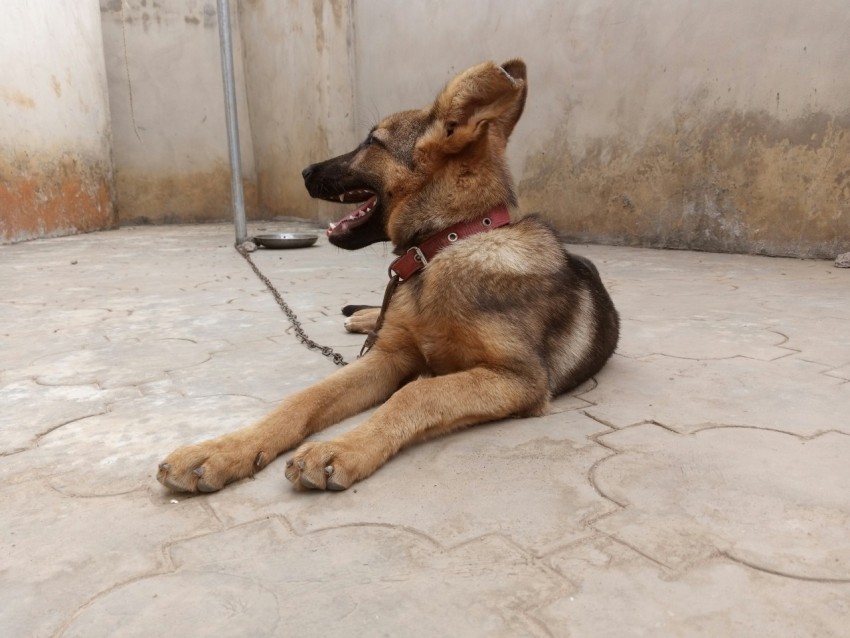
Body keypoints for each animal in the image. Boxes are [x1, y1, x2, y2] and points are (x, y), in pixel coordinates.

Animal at [157, 58, 616, 496]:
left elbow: (414, 393)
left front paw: (340, 448)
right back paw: (361, 318)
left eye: (372, 143)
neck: (444, 244)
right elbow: (306, 396)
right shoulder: (389, 357)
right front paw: (222, 450)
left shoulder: (519, 378)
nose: (304, 171)